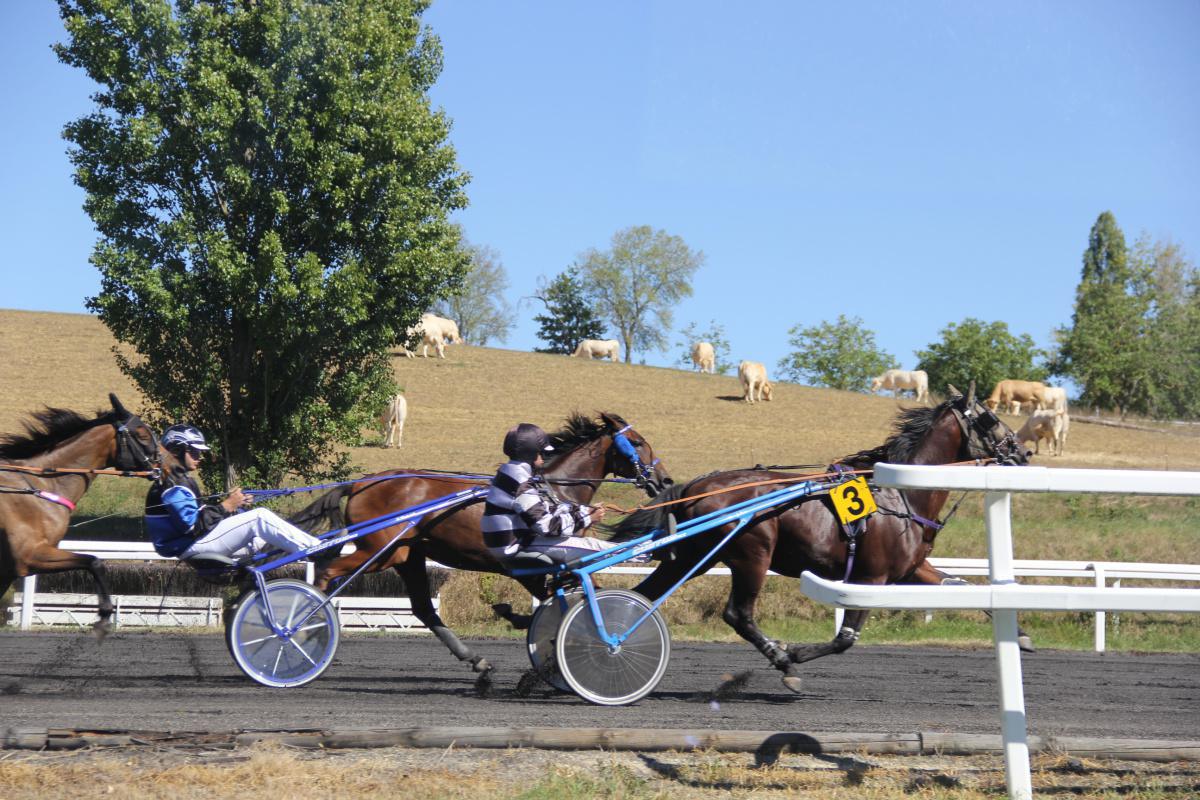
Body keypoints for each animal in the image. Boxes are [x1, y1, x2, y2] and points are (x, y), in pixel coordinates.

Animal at [0, 393, 159, 633]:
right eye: (142, 435)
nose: (164, 465)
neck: (40, 485)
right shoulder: (29, 556)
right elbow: (94, 561)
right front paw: (104, 615)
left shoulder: (10, 567)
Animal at [286, 412, 672, 676]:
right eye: (638, 441)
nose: (664, 479)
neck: (553, 488)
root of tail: (360, 484)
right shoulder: (530, 559)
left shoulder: (531, 567)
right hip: (376, 551)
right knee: (327, 572)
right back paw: (302, 631)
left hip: (406, 555)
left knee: (423, 608)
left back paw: (474, 658)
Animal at [614, 391, 1027, 690]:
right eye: (990, 417)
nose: (1022, 451)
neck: (900, 495)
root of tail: (698, 484)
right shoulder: (870, 578)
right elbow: (845, 638)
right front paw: (792, 655)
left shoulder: (911, 569)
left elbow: (961, 585)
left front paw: (1020, 633)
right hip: (752, 555)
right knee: (738, 614)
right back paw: (781, 660)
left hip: (691, 557)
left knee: (644, 596)